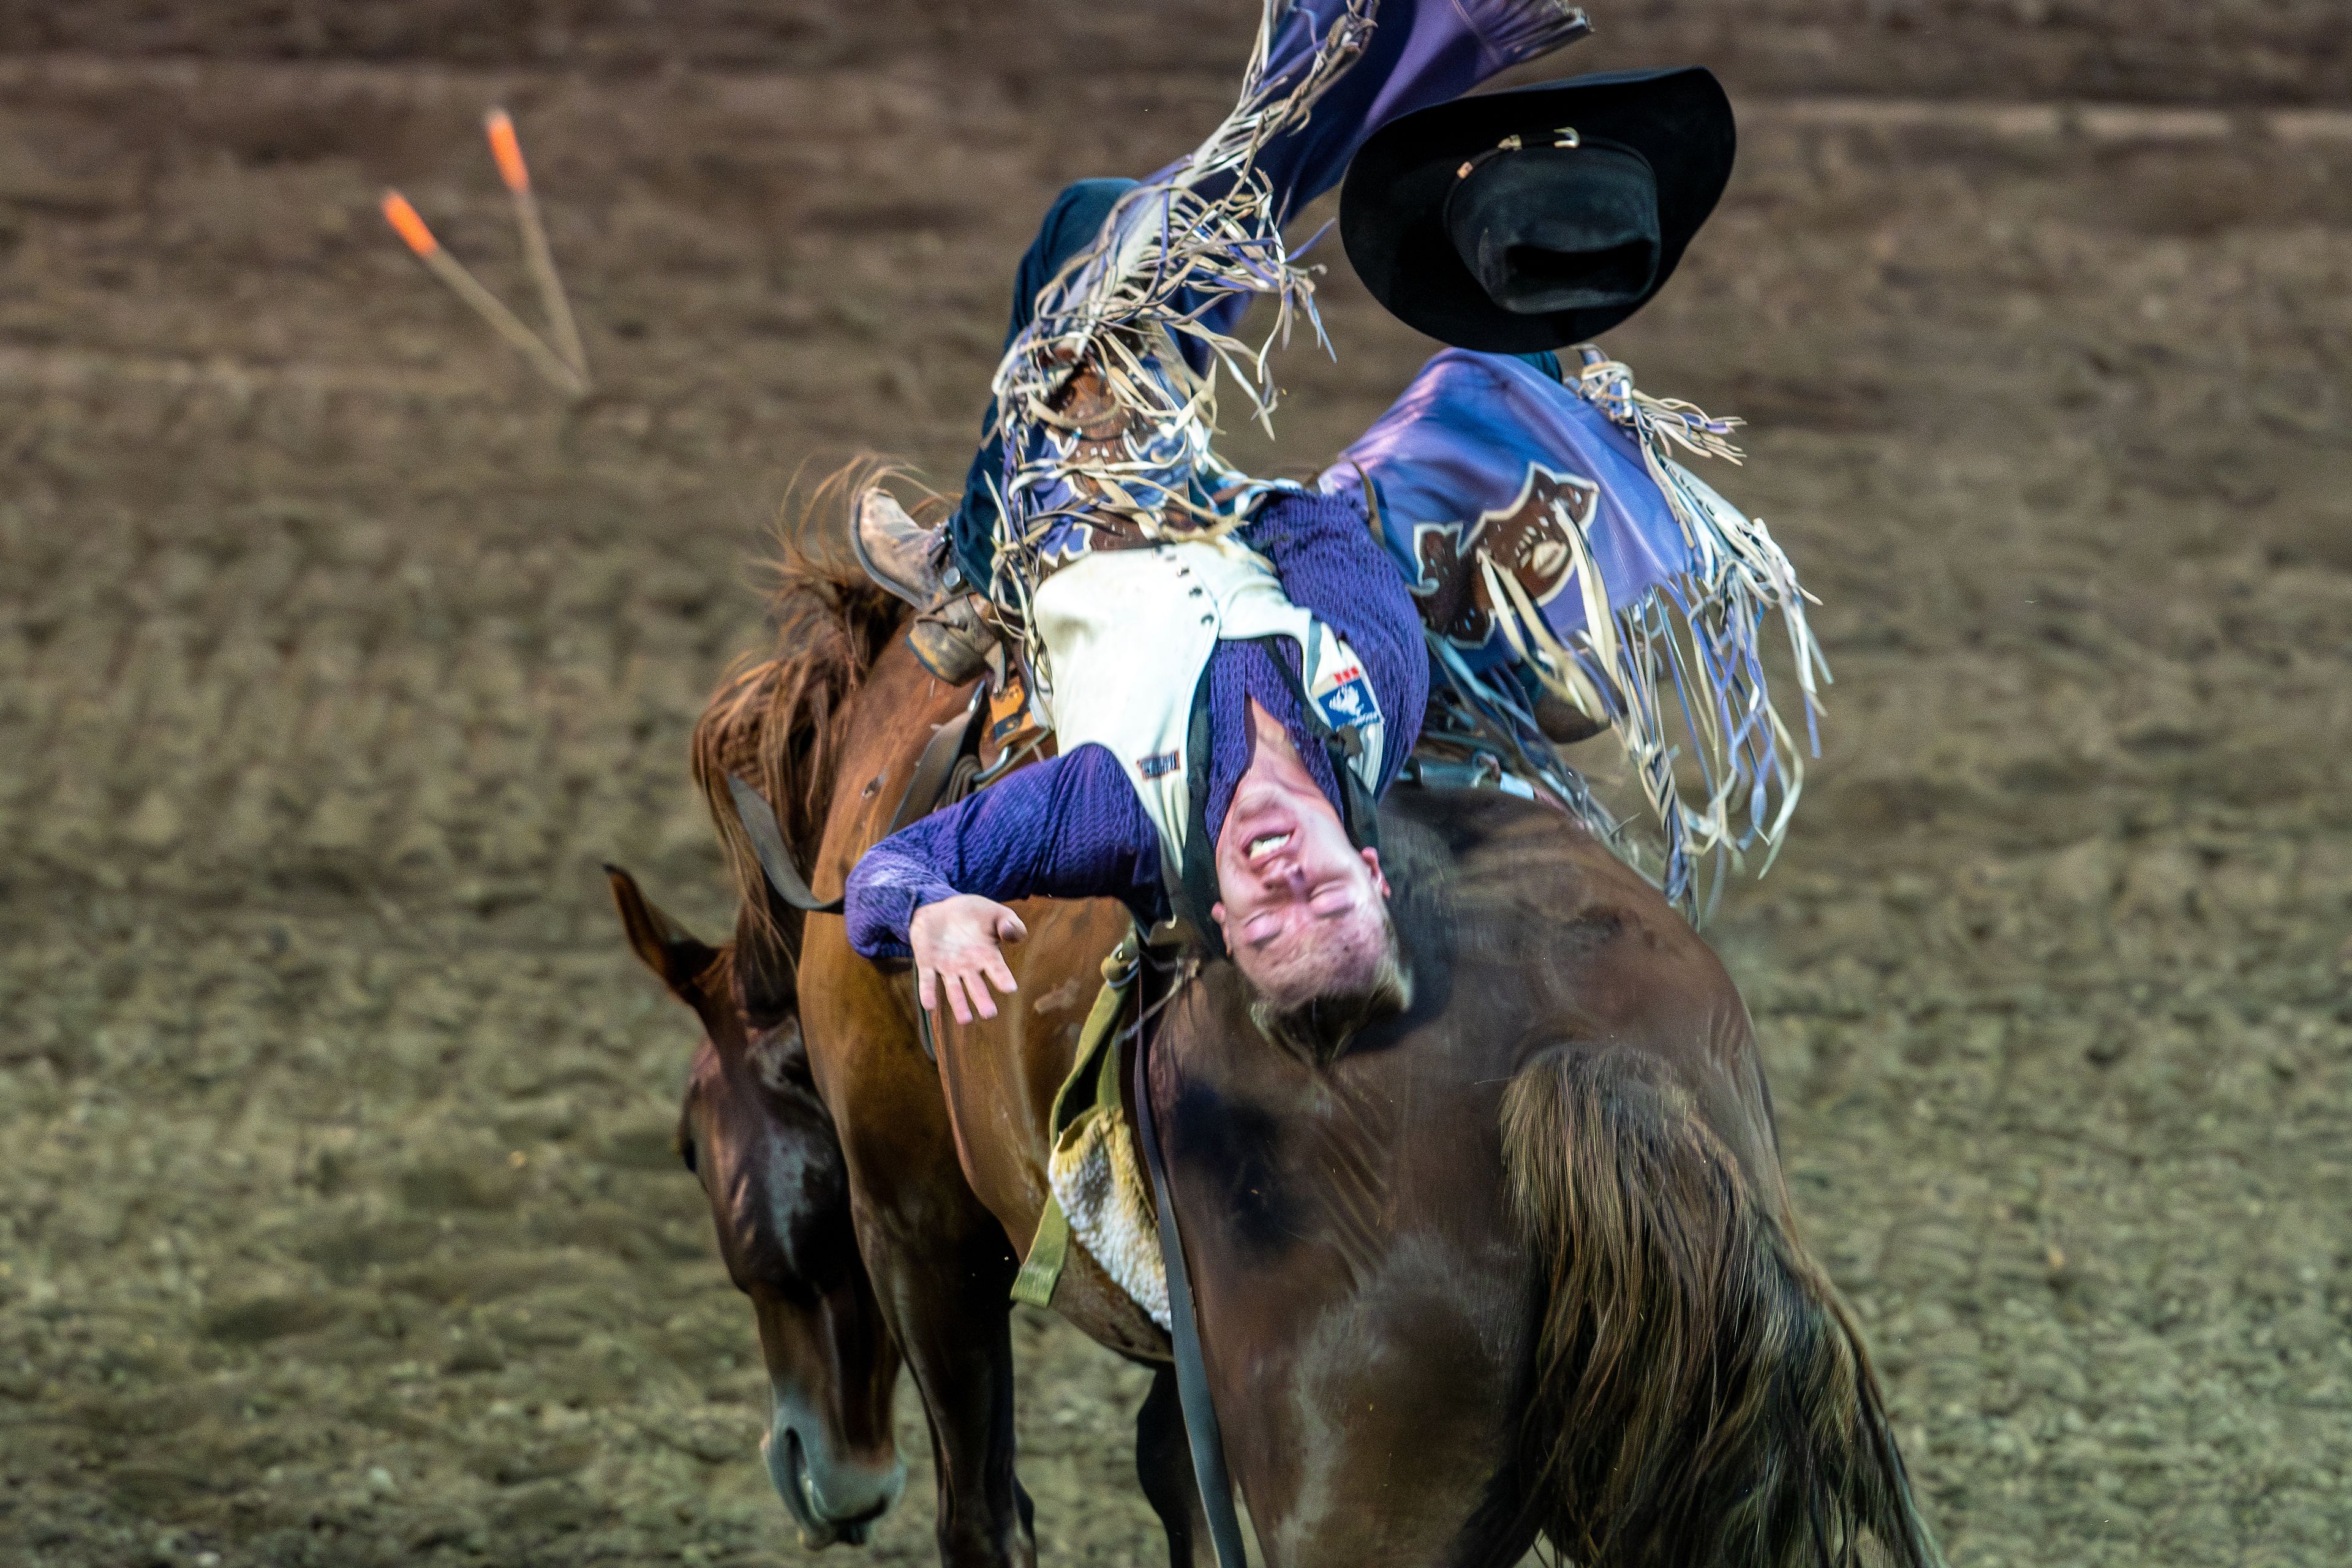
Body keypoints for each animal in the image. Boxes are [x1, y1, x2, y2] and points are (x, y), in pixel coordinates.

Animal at [611, 475, 1947, 1568]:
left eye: (688, 1144)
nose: (824, 1478)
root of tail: (1581, 1067)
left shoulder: (916, 1229)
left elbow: (985, 1515)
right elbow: (1176, 1483)